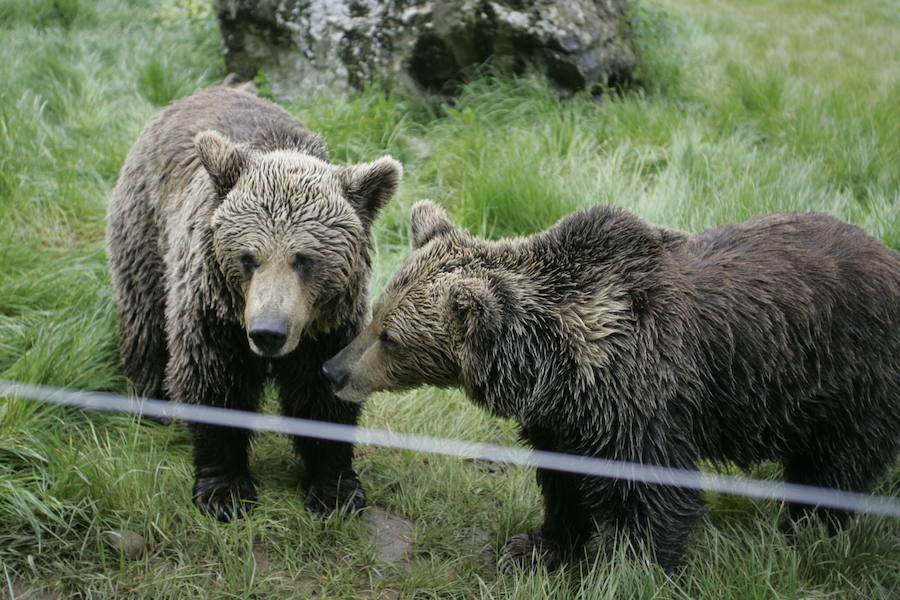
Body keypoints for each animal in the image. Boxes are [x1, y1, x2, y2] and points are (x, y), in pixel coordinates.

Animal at [106, 84, 400, 520]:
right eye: (247, 257)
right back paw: (154, 401)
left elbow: (322, 393)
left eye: (304, 259)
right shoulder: (214, 313)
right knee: (146, 318)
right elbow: (213, 384)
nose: (268, 332)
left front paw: (335, 489)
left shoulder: (328, 326)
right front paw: (224, 492)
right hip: (146, 228)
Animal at [324, 202, 900, 572]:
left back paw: (806, 529)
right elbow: (563, 482)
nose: (333, 370)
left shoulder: (641, 399)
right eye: (376, 314)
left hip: (847, 378)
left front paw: (629, 569)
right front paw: (536, 547)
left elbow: (653, 493)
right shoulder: (565, 420)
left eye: (391, 338)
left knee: (835, 464)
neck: (558, 367)